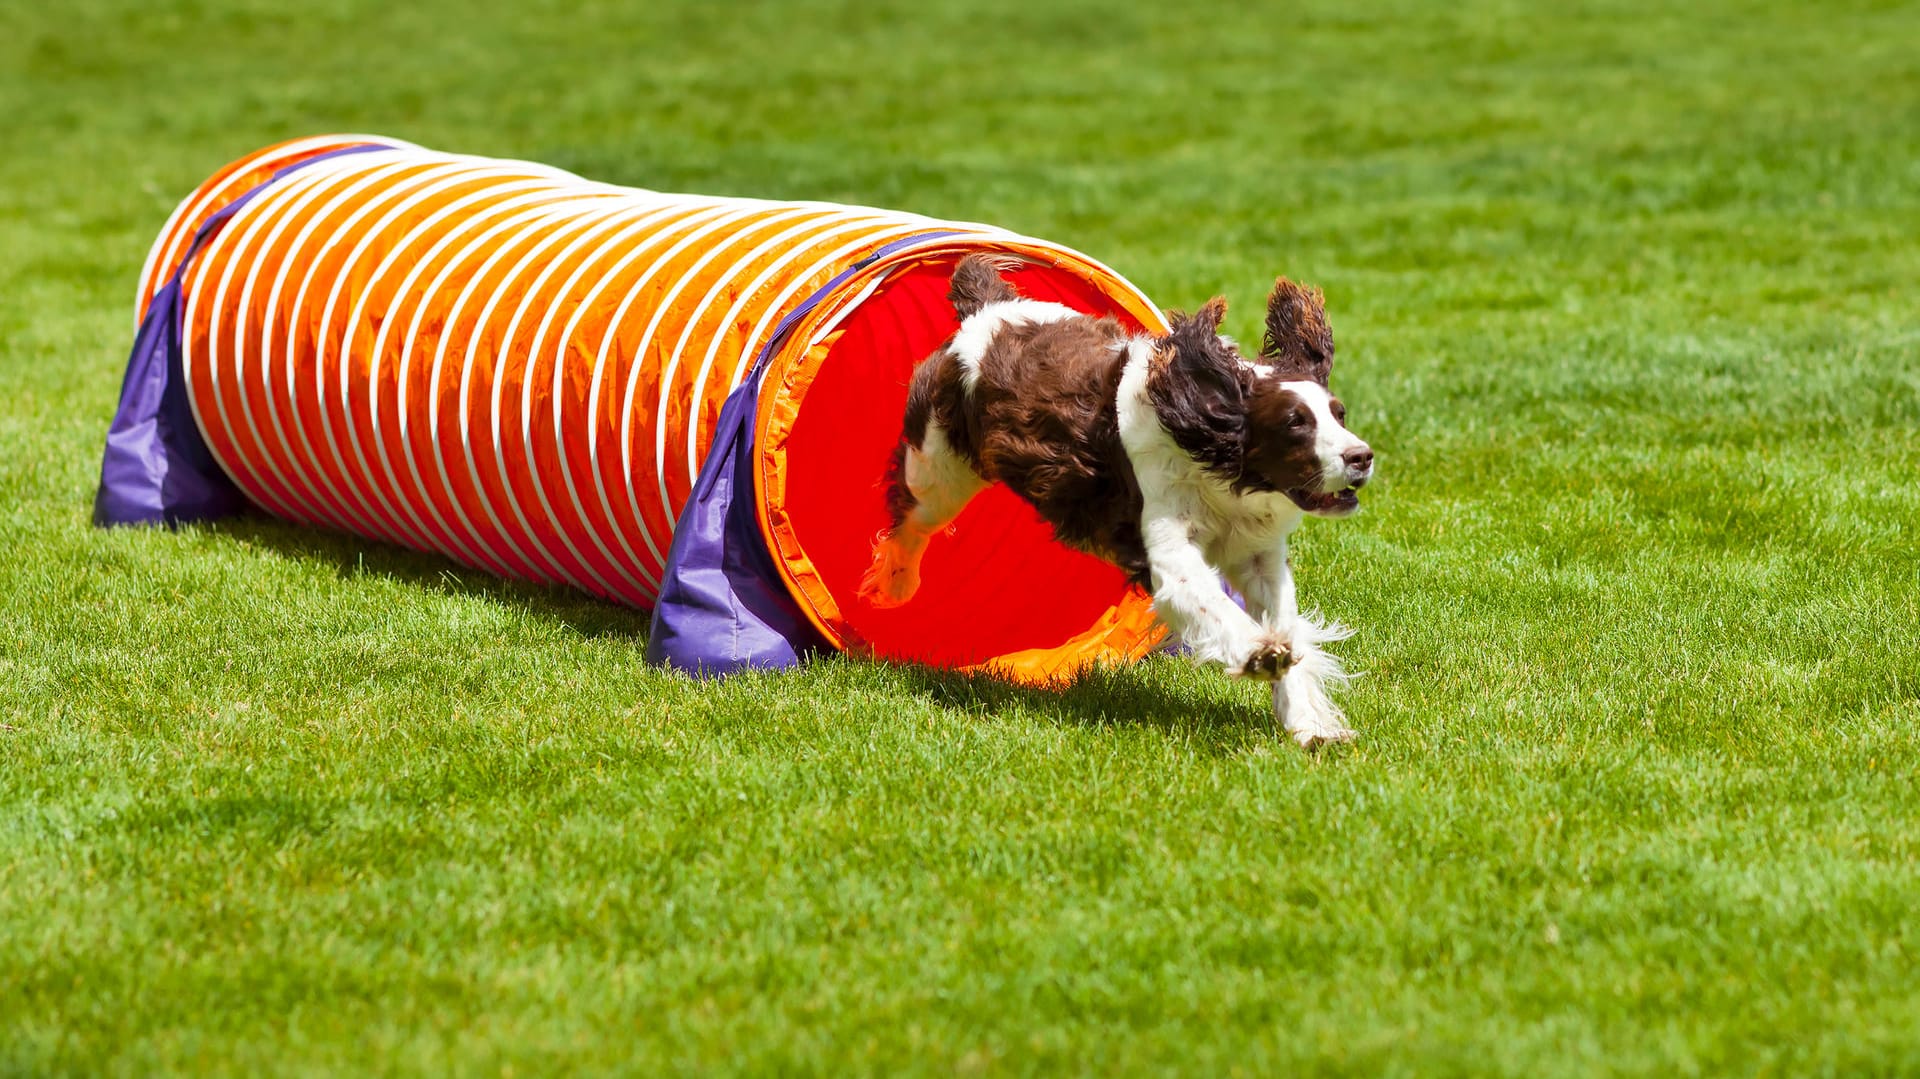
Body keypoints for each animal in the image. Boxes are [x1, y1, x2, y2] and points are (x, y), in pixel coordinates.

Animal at [864, 255, 1374, 744]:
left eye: (1339, 413)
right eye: (1295, 423)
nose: (1361, 456)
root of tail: (989, 311)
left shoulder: (1259, 556)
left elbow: (1289, 629)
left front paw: (1311, 728)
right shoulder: (1166, 550)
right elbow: (1212, 602)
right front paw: (1260, 653)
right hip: (938, 466)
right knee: (911, 517)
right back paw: (894, 586)